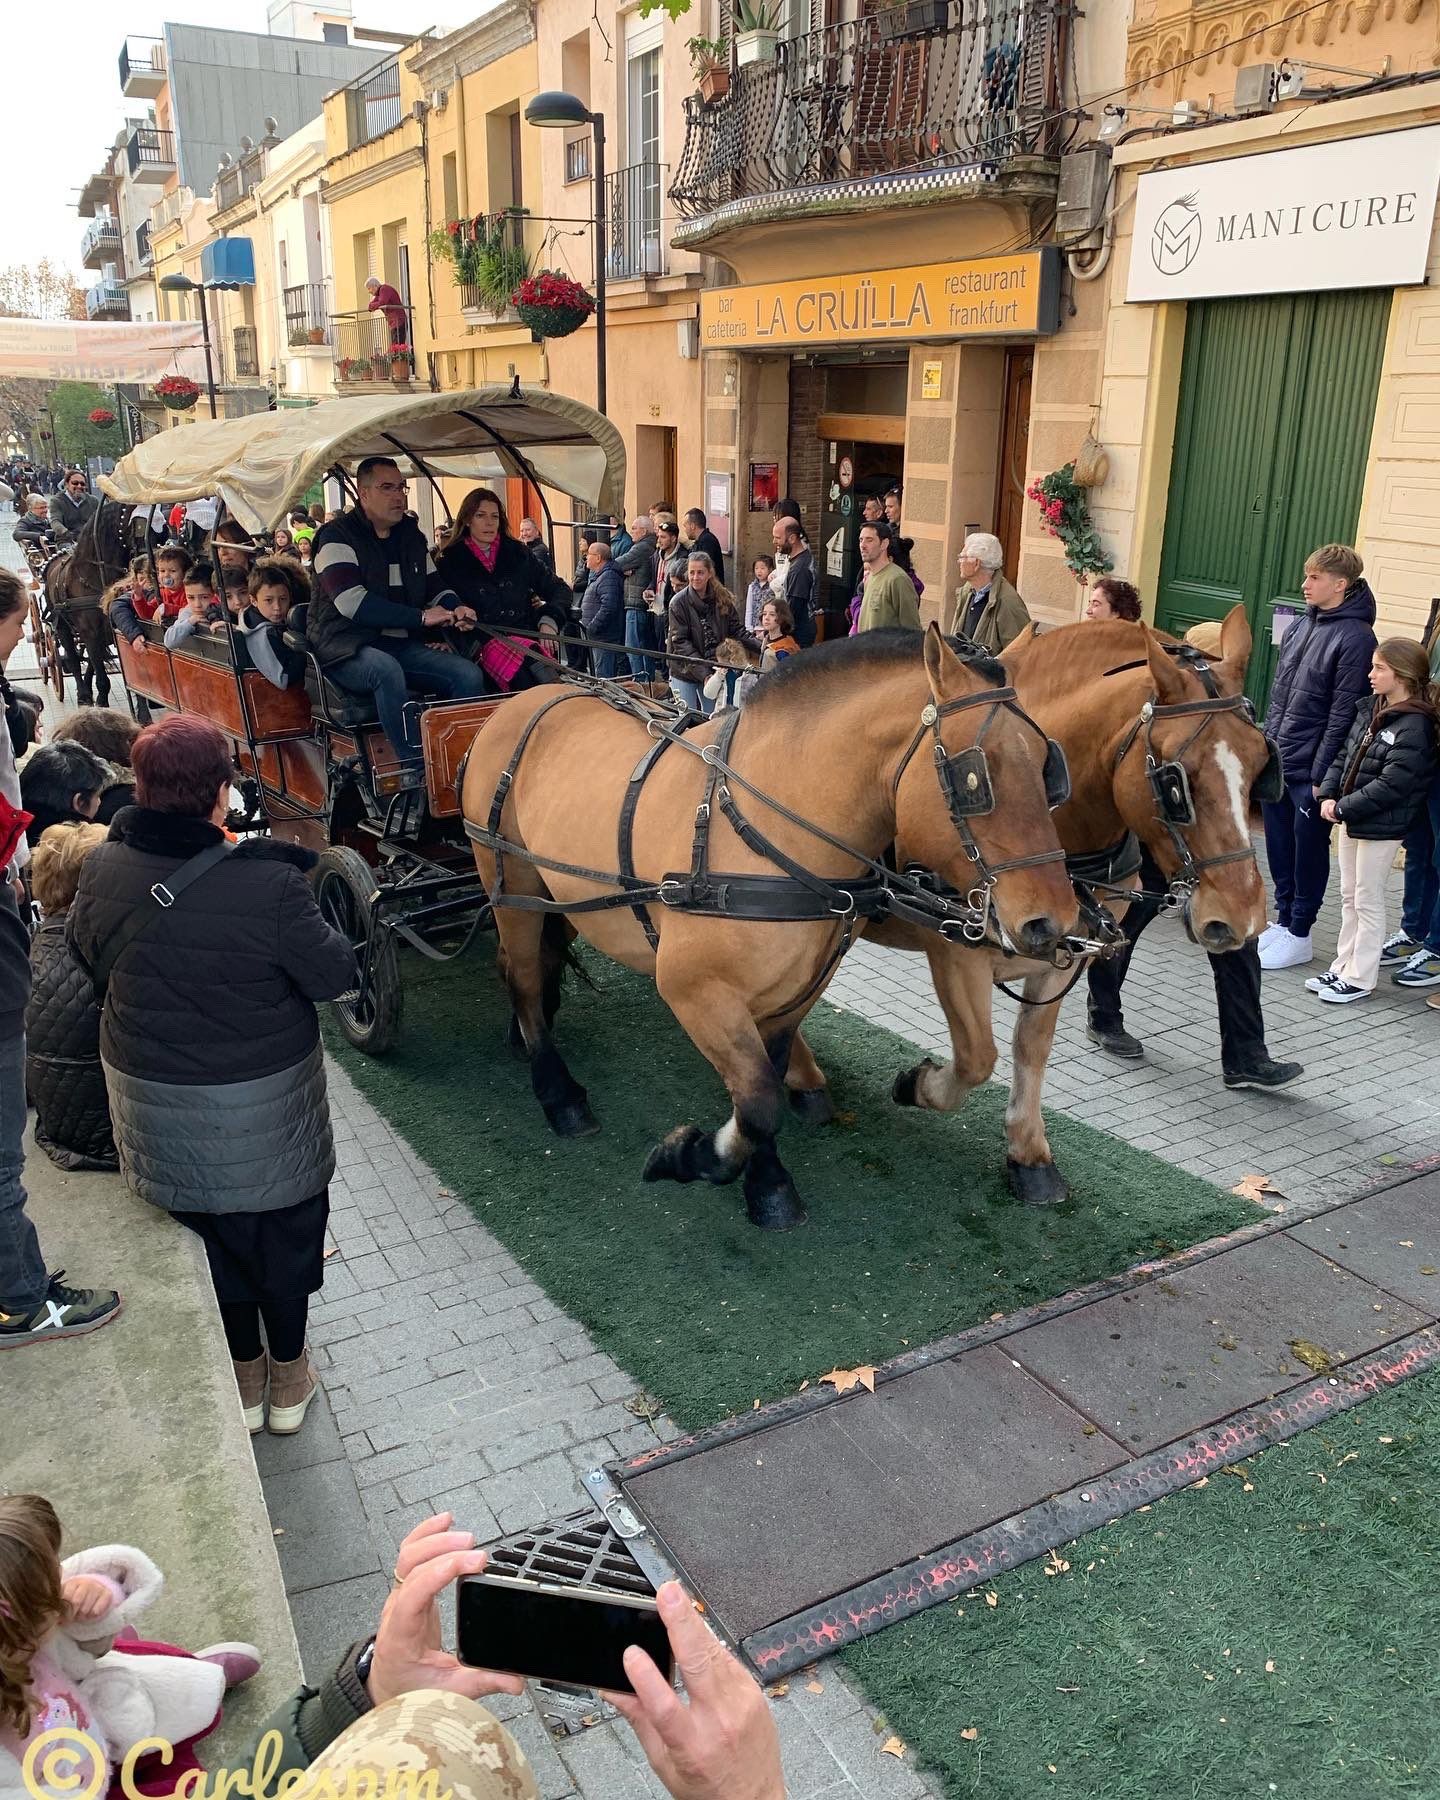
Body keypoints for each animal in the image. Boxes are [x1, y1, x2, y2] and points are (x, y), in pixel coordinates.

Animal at [40, 507, 126, 709]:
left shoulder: (104, 632)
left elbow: (95, 661)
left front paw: (98, 695)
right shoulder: (90, 631)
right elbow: (94, 665)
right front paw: (100, 698)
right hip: (62, 626)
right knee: (72, 659)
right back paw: (83, 694)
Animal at [460, 626, 1080, 1231]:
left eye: (1048, 766)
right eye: (974, 776)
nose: (1053, 921)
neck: (764, 831)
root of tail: (519, 703)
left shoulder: (798, 987)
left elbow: (767, 1077)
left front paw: (766, 1182)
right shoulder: (692, 990)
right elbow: (757, 1098)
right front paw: (688, 1155)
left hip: (554, 896)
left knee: (533, 966)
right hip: (508, 880)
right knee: (523, 978)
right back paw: (558, 1092)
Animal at [820, 608, 1274, 1209]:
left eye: (1260, 761)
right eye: (1176, 780)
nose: (1242, 917)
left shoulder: (1063, 952)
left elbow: (1031, 1047)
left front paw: (1028, 1153)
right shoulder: (957, 948)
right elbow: (976, 1056)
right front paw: (917, 1084)